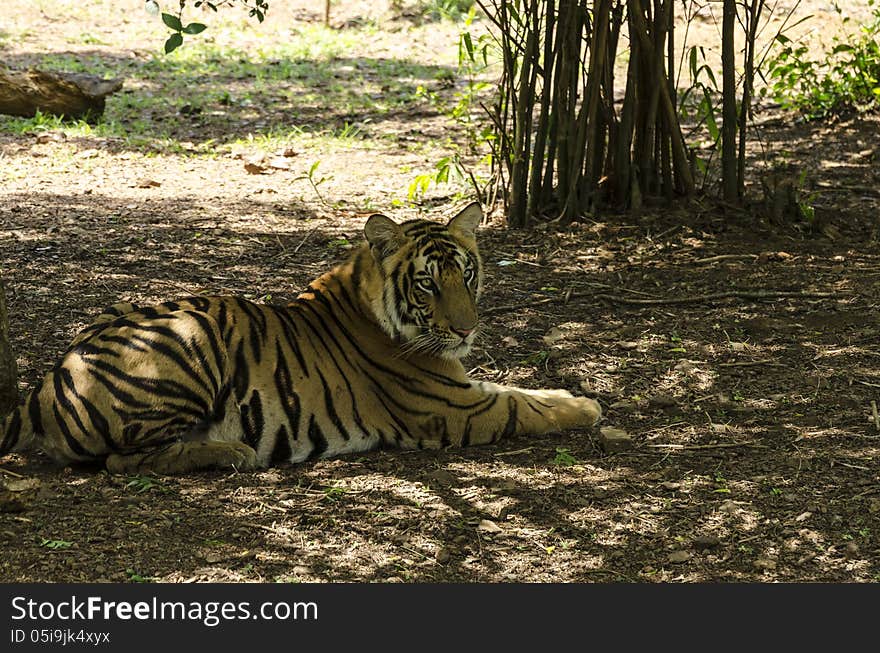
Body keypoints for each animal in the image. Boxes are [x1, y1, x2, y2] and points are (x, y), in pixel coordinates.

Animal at [0, 201, 600, 472]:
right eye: (428, 282)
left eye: (467, 274)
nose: (466, 327)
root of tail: (45, 385)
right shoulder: (453, 407)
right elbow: (525, 404)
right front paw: (586, 405)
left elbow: (518, 388)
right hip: (187, 337)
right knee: (123, 462)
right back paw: (234, 451)